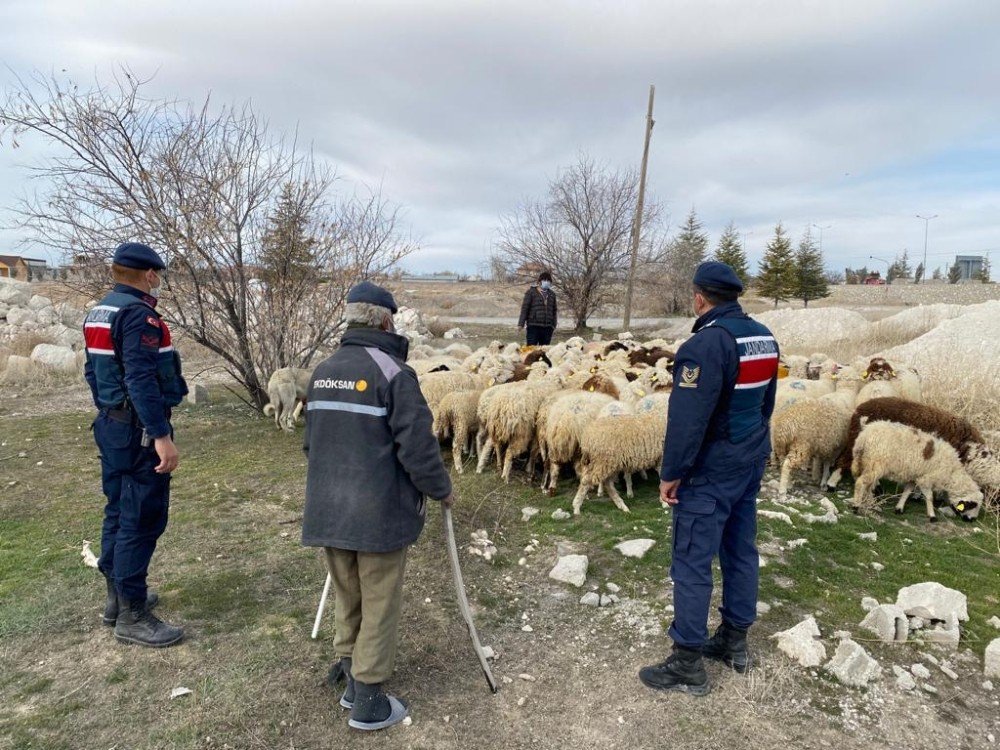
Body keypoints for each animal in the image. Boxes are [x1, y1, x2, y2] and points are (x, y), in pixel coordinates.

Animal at [852, 424, 984, 524]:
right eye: (972, 505)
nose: (971, 520)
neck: (952, 473)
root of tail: (863, 437)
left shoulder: (914, 477)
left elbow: (907, 492)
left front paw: (899, 508)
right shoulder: (925, 479)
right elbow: (929, 497)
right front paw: (932, 516)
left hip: (867, 463)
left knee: (868, 485)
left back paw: (871, 504)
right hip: (875, 463)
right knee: (861, 483)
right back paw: (856, 506)